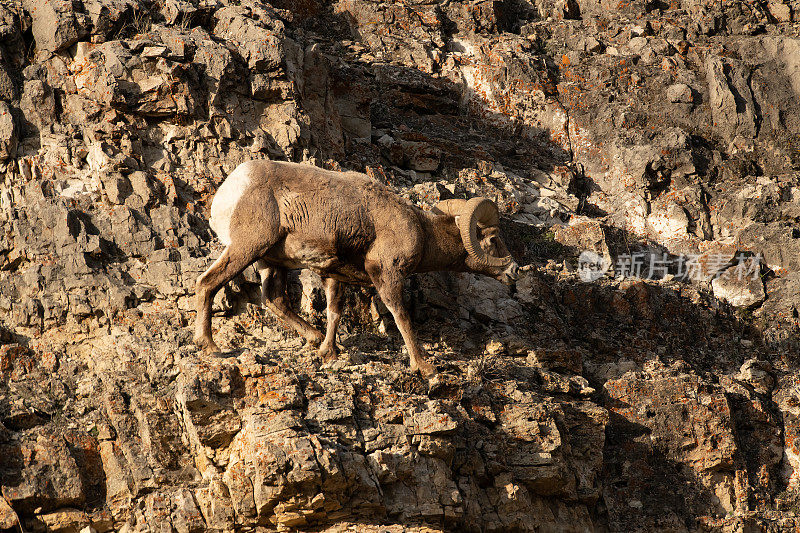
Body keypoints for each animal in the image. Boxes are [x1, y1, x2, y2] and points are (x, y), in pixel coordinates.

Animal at [194, 160, 520, 376]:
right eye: (493, 239)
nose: (514, 270)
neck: (421, 231)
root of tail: (230, 189)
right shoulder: (387, 275)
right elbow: (401, 316)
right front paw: (423, 366)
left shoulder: (335, 276)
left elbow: (334, 312)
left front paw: (328, 352)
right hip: (247, 249)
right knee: (208, 283)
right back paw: (208, 346)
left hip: (270, 262)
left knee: (275, 299)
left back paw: (312, 338)